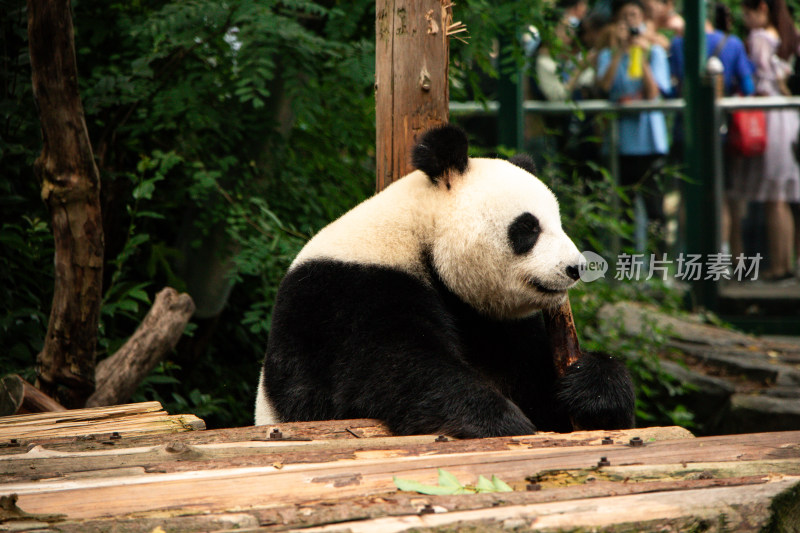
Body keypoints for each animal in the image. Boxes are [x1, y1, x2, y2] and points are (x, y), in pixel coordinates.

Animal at [253, 123, 636, 436]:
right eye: (528, 227)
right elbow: (392, 368)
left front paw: (594, 389)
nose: (575, 268)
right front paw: (499, 420)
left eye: (558, 223)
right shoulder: (349, 294)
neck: (419, 232)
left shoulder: (490, 322)